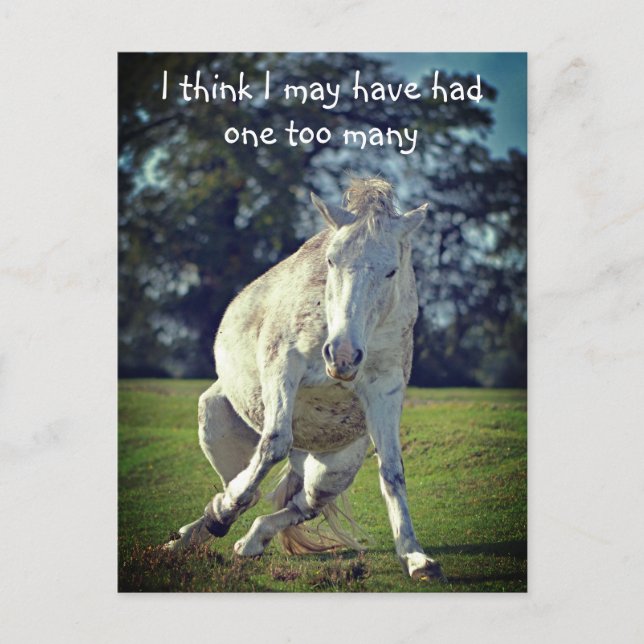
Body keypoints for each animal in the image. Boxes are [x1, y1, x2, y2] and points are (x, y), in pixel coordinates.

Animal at [166, 177, 444, 581]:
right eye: (331, 260)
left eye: (391, 271)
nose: (342, 356)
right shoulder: (283, 366)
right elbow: (273, 444)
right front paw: (222, 511)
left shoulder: (385, 390)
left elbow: (392, 471)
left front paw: (415, 557)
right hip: (215, 423)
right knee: (244, 486)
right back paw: (199, 528)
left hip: (331, 471)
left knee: (302, 504)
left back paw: (249, 542)